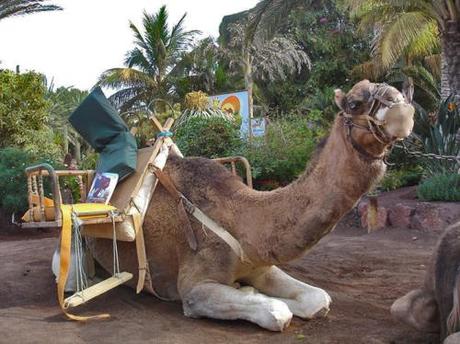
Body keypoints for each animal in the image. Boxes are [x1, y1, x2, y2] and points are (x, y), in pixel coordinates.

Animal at [88, 80, 416, 330]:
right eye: (354, 103)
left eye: (397, 91)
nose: (403, 108)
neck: (241, 217)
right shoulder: (193, 286)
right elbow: (277, 312)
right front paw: (252, 294)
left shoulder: (259, 265)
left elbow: (318, 299)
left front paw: (250, 288)